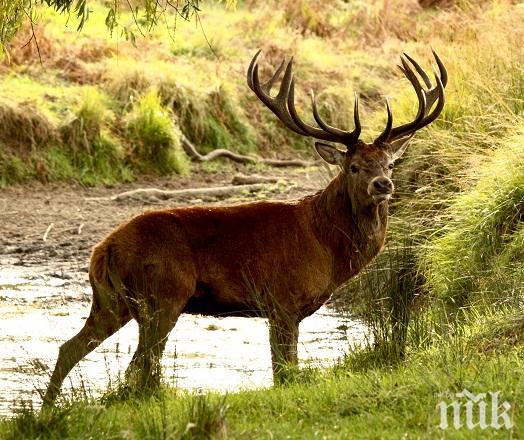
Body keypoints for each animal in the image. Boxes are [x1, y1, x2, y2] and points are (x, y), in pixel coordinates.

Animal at [43, 49, 448, 406]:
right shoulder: (282, 300)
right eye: (354, 167)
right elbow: (283, 372)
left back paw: (47, 410)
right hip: (162, 295)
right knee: (139, 367)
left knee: (69, 349)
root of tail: (103, 249)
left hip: (112, 301)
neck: (326, 247)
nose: (383, 184)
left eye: (389, 163)